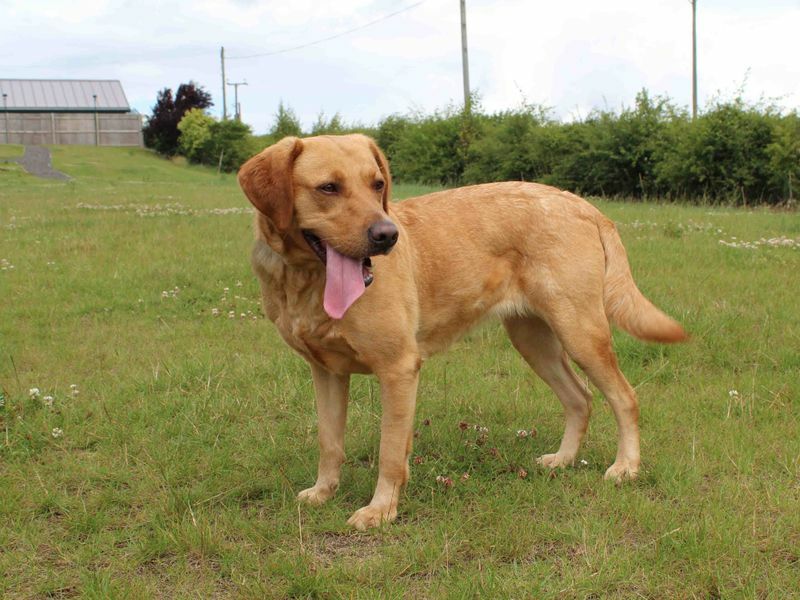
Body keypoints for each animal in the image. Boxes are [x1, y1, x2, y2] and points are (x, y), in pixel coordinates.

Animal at [238, 135, 688, 528]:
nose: (387, 236)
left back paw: (626, 467)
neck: (305, 280)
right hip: (534, 340)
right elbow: (330, 443)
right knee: (581, 398)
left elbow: (390, 452)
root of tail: (582, 204)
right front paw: (322, 492)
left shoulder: (398, 369)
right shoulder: (327, 372)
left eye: (377, 184)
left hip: (580, 332)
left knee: (624, 398)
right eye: (328, 188)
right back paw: (562, 460)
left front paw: (381, 511)